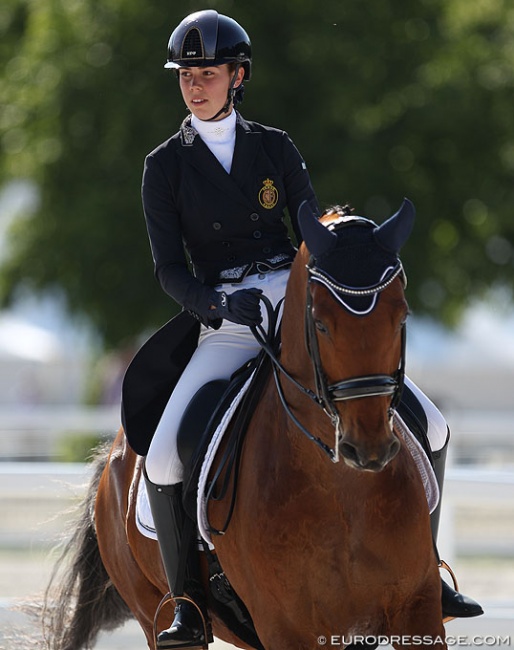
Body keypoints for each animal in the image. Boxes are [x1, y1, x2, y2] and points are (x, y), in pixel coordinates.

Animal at [44, 199, 444, 648]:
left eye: (402, 317)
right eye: (321, 323)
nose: (369, 446)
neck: (341, 489)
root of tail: (116, 454)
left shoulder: (418, 610)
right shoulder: (285, 629)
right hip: (153, 613)